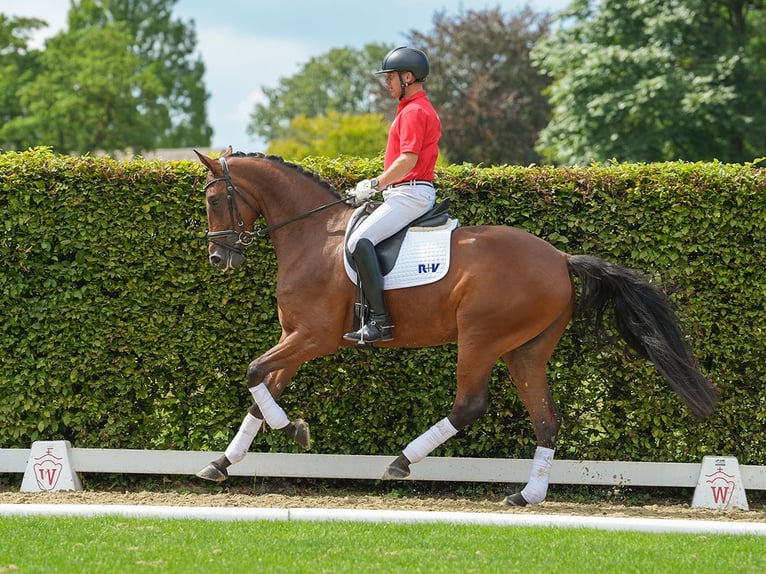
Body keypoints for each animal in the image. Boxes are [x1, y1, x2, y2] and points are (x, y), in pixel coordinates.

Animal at [192, 148, 720, 508]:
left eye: (215, 199)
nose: (218, 258)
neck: (313, 236)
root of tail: (560, 257)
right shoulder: (295, 337)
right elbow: (263, 389)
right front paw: (222, 463)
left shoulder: (313, 338)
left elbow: (253, 373)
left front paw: (294, 430)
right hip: (526, 349)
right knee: (546, 417)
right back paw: (527, 495)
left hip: (481, 338)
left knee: (469, 405)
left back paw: (402, 462)